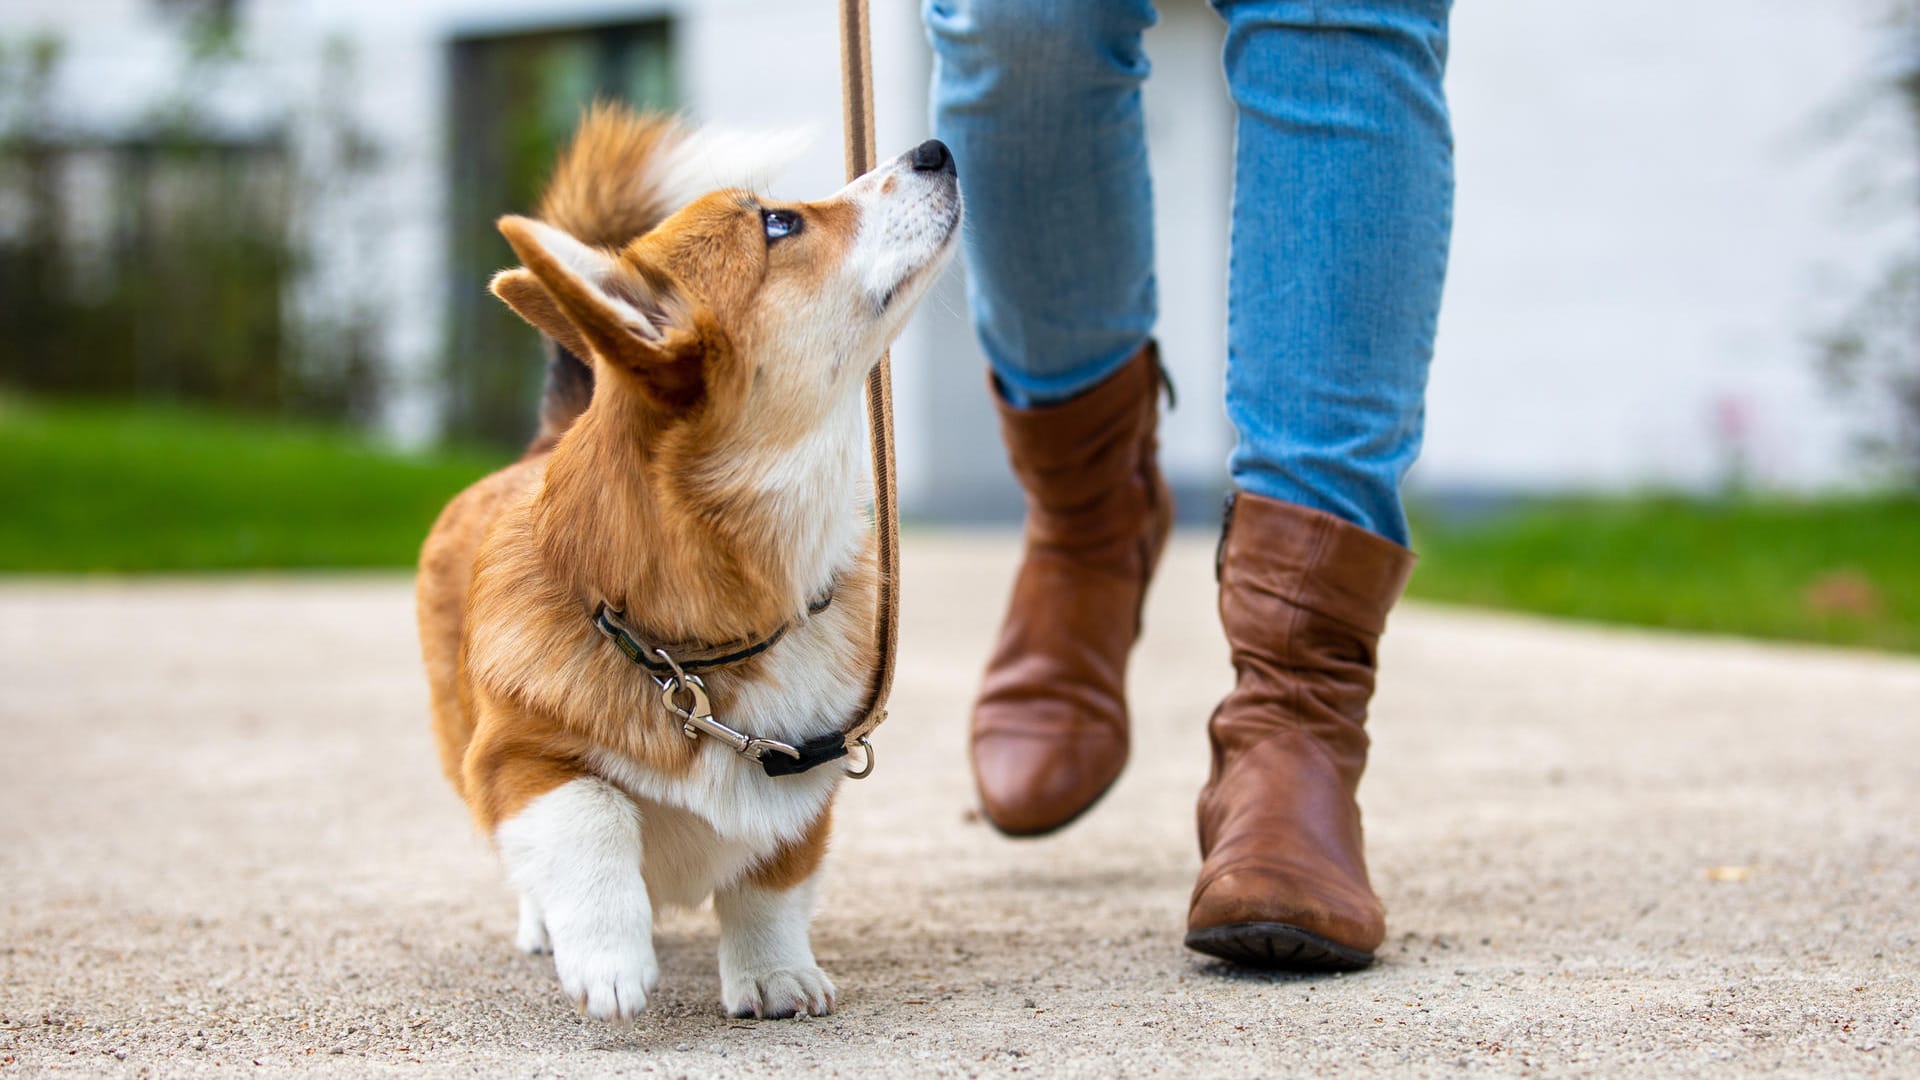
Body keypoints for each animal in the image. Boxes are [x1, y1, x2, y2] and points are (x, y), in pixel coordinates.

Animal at [420, 107, 960, 1014]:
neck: (699, 652)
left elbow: (769, 882)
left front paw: (775, 975)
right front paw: (608, 958)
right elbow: (591, 813)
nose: (936, 150)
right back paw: (544, 927)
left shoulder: (806, 775)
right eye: (779, 223)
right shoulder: (514, 759)